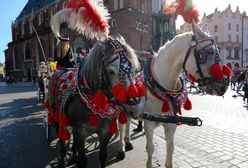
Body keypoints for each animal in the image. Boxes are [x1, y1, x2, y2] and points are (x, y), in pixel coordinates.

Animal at [125, 21, 232, 168]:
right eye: (208, 52)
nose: (224, 86)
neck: (162, 91)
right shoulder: (149, 124)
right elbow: (150, 148)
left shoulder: (172, 124)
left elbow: (170, 148)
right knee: (124, 124)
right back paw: (125, 142)